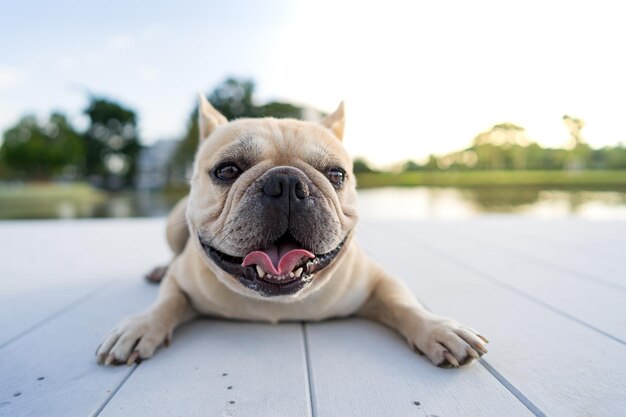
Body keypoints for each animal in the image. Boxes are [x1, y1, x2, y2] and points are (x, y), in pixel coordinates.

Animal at [96, 95, 488, 368]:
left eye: (336, 174)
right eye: (226, 170)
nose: (286, 183)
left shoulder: (379, 280)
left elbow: (403, 304)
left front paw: (439, 329)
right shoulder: (181, 280)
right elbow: (166, 301)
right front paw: (140, 327)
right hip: (172, 224)